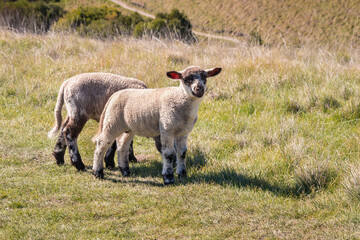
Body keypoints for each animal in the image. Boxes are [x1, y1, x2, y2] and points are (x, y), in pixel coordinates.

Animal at [92, 66, 222, 185]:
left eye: (205, 78)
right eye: (187, 79)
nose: (199, 89)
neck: (179, 99)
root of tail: (114, 96)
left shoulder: (184, 132)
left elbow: (182, 153)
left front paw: (182, 175)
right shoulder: (167, 128)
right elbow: (169, 154)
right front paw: (168, 178)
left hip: (129, 127)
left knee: (122, 145)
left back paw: (125, 171)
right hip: (112, 122)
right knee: (101, 144)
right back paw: (98, 172)